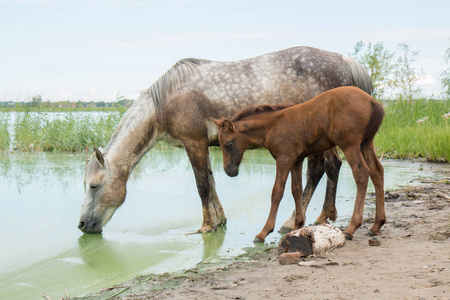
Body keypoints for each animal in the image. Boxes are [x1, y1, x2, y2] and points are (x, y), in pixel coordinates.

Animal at [78, 46, 372, 234]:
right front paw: (220, 220)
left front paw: (206, 226)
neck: (166, 100)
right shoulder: (204, 146)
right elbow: (211, 181)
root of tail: (345, 60)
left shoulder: (193, 143)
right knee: (331, 167)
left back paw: (294, 222)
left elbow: (202, 186)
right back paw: (324, 215)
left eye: (93, 186)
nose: (82, 225)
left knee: (321, 169)